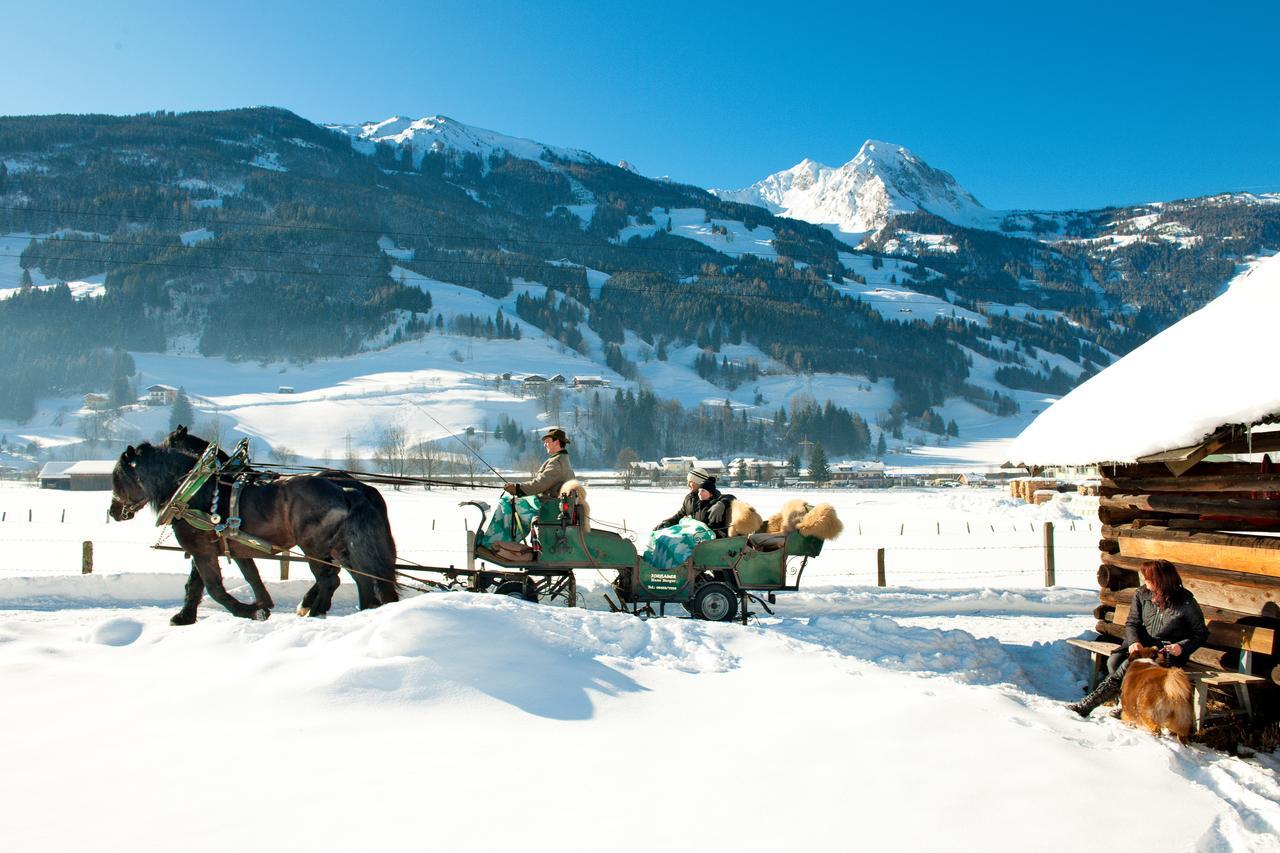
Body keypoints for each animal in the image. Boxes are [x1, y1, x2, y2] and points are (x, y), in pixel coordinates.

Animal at [112, 440, 396, 622]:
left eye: (118, 478)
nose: (113, 512)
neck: (195, 490)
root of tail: (346, 490)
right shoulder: (229, 547)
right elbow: (233, 579)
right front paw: (185, 616)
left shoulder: (201, 550)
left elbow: (213, 587)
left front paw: (250, 611)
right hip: (340, 546)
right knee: (362, 578)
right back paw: (365, 610)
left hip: (314, 546)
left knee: (330, 579)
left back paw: (315, 612)